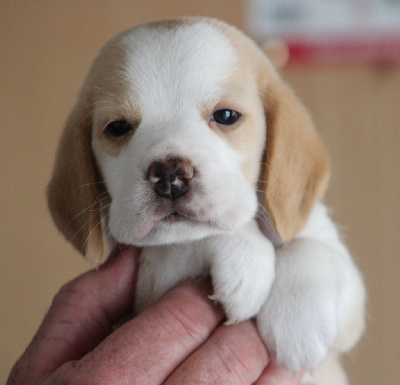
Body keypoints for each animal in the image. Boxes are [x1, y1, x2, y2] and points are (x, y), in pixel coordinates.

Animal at [47, 18, 366, 384]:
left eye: (226, 115)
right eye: (118, 127)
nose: (169, 174)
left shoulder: (352, 310)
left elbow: (309, 247)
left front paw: (297, 324)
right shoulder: (152, 277)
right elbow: (193, 240)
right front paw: (246, 257)